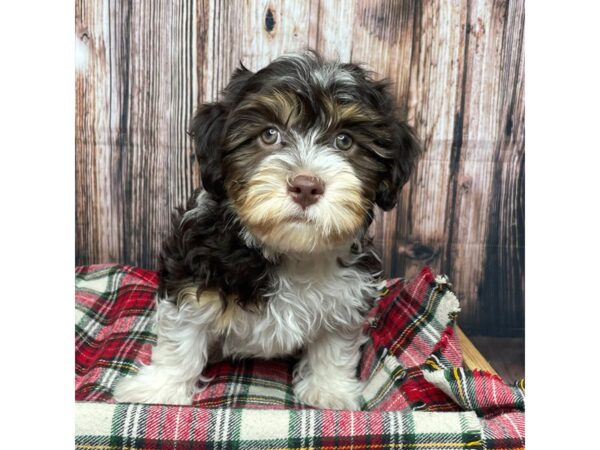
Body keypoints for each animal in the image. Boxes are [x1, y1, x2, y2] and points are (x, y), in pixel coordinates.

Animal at [113, 51, 422, 410]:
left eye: (344, 140)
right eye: (269, 135)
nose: (306, 186)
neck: (288, 249)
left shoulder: (347, 292)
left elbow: (334, 343)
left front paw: (330, 390)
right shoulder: (192, 274)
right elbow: (183, 335)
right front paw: (161, 388)